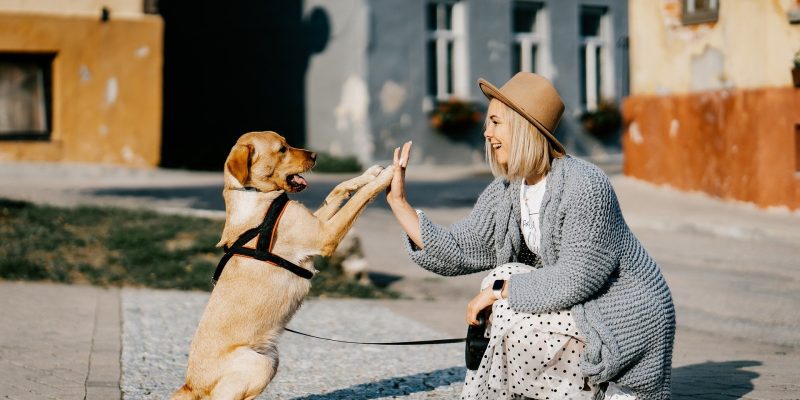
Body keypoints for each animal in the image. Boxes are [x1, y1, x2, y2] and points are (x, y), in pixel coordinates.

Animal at [172, 132, 394, 400]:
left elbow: (338, 189)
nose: (315, 155)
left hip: (272, 358)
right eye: (281, 150)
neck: (255, 195)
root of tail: (191, 385)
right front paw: (389, 175)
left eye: (287, 142)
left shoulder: (317, 223)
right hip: (260, 364)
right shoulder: (325, 235)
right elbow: (361, 198)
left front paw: (370, 173)